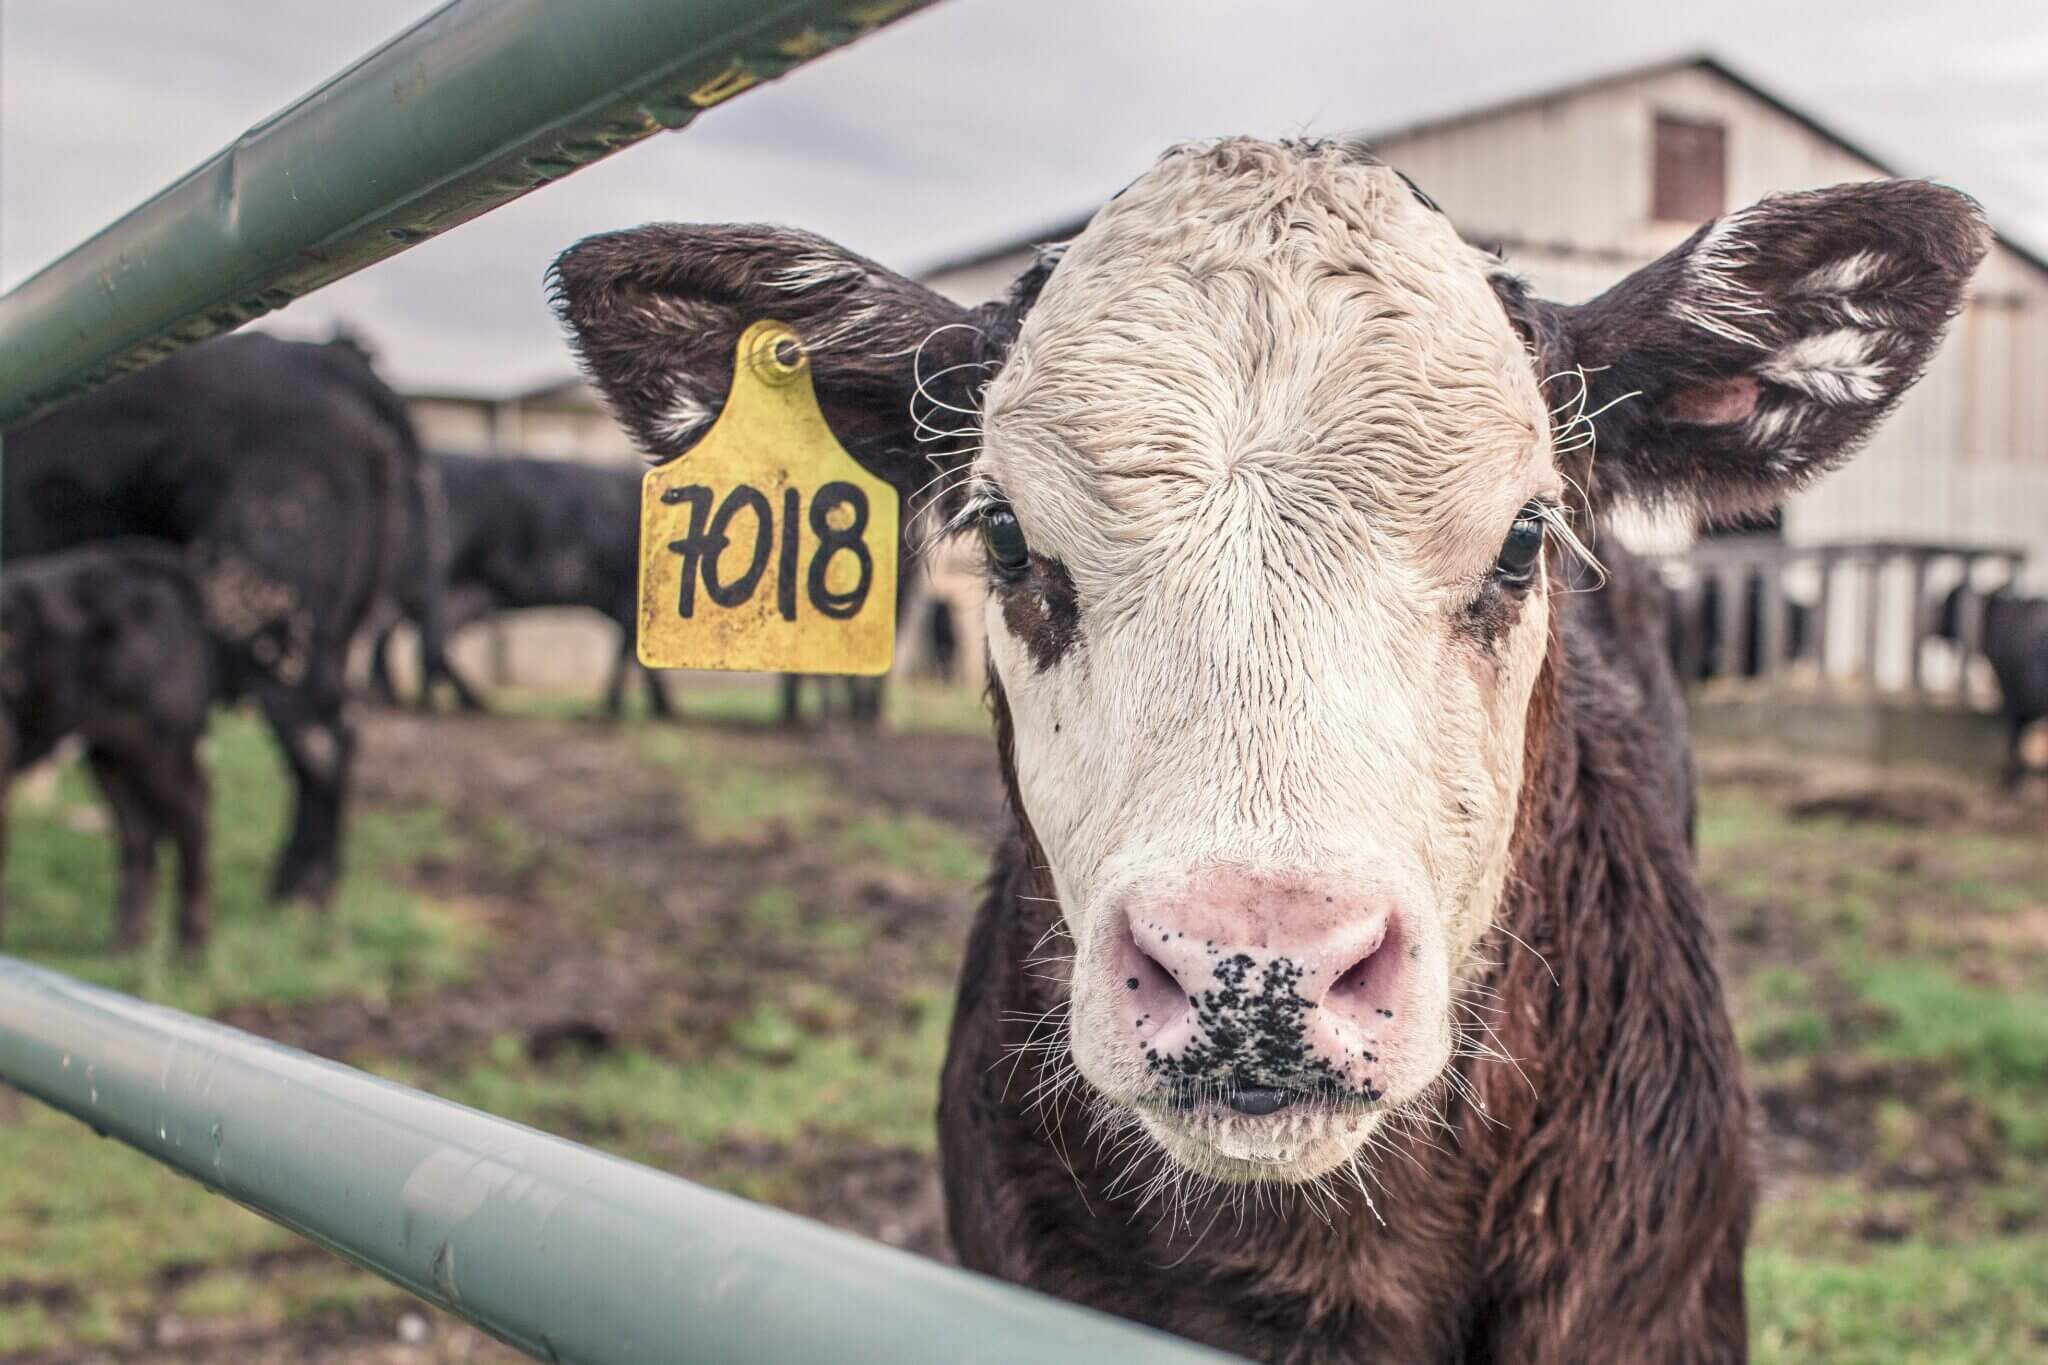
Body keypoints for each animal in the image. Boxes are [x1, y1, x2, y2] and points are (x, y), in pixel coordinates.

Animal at [0, 540, 216, 949]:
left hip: (162, 741)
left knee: (191, 815)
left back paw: (189, 944)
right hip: (111, 752)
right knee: (137, 831)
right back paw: (128, 942)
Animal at [368, 450, 671, 724]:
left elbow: (629, 649)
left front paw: (649, 708)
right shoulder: (628, 596)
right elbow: (630, 650)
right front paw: (642, 708)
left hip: (453, 592)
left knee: (417, 637)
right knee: (411, 635)